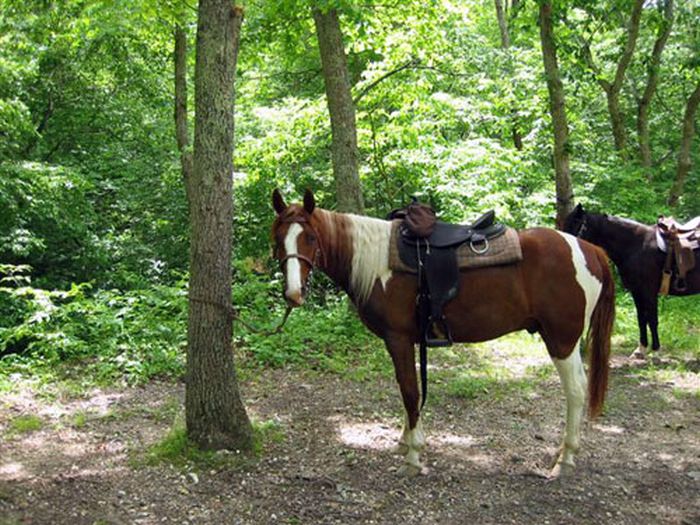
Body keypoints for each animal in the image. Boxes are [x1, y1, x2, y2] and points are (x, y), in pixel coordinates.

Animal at [270, 188, 616, 474]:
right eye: (278, 238)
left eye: (310, 238)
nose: (293, 293)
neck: (379, 263)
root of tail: (590, 249)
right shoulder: (407, 341)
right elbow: (406, 389)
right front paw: (405, 439)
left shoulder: (397, 338)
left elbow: (410, 391)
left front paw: (413, 455)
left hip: (562, 340)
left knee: (576, 390)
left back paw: (565, 459)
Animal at [568, 203, 696, 354]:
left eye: (577, 224)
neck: (636, 246)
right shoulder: (636, 291)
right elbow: (641, 319)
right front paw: (641, 348)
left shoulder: (648, 291)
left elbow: (652, 319)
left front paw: (656, 350)